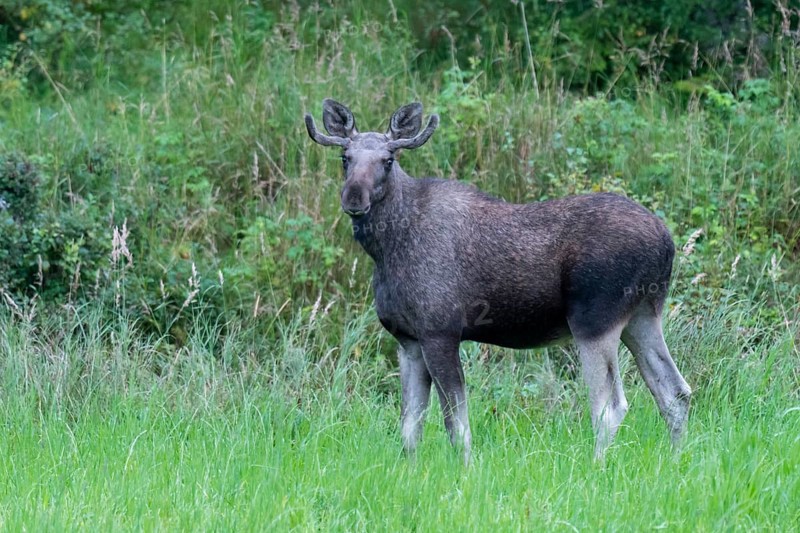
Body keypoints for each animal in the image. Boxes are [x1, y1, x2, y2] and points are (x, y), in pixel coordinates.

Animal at [304, 99, 692, 461]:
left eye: (388, 159)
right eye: (345, 157)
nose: (354, 197)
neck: (386, 249)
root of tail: (667, 242)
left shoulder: (440, 332)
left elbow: (456, 425)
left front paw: (465, 471)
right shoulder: (407, 340)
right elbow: (409, 428)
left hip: (595, 320)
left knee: (611, 407)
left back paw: (595, 466)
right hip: (642, 316)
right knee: (675, 392)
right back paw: (674, 460)